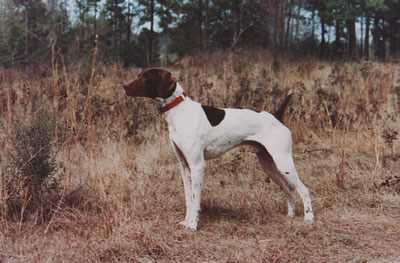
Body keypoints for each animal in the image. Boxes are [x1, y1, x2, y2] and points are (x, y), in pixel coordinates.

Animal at [123, 67, 314, 231]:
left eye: (145, 77)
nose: (124, 86)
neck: (180, 111)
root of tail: (277, 115)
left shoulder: (197, 166)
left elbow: (195, 198)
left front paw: (193, 225)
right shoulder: (184, 167)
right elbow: (188, 199)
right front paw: (186, 222)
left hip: (283, 163)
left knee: (304, 189)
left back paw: (309, 218)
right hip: (269, 165)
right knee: (289, 190)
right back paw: (290, 215)